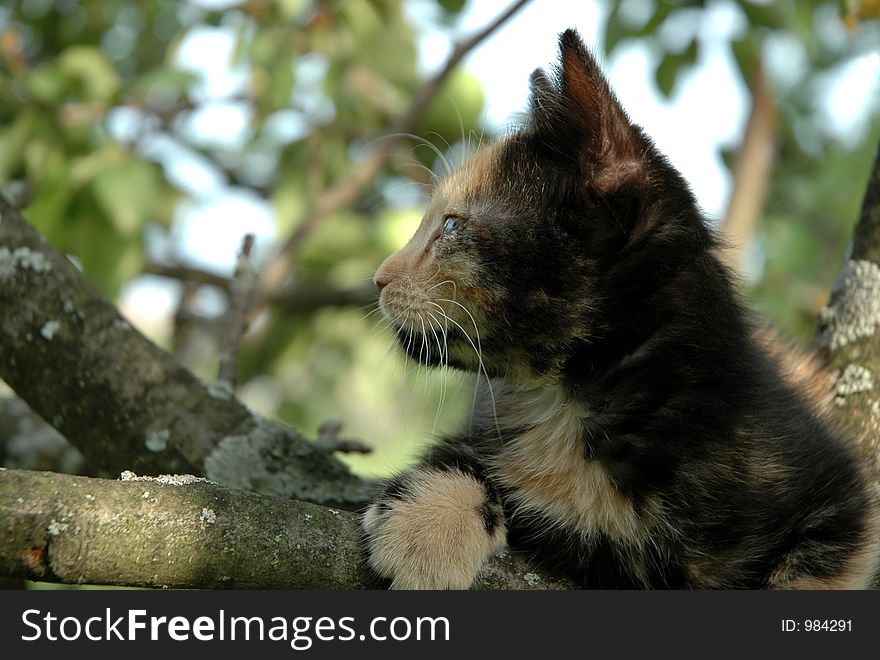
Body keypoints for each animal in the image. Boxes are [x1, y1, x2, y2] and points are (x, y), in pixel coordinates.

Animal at [360, 29, 880, 588]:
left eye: (452, 226)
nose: (379, 278)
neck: (573, 399)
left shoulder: (841, 491)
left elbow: (815, 567)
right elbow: (461, 455)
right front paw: (422, 526)